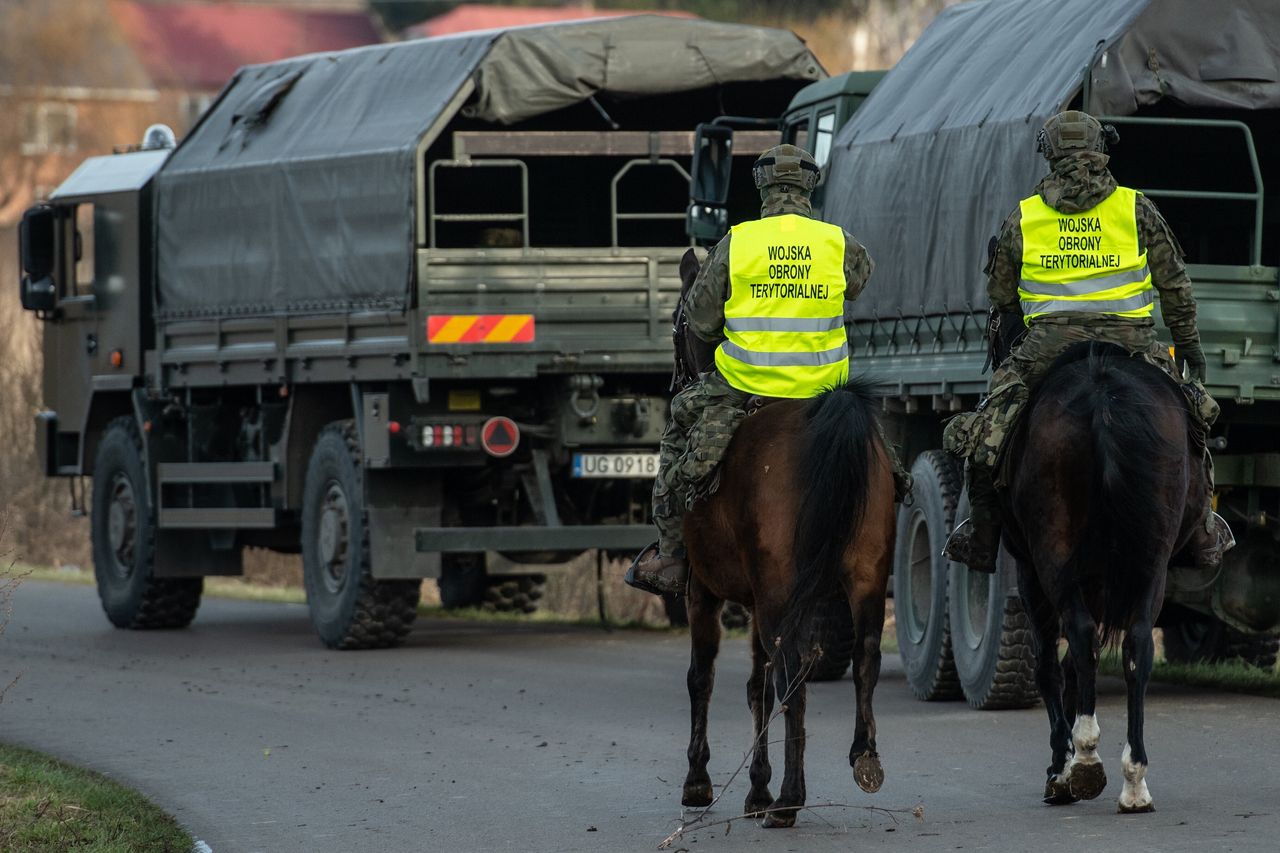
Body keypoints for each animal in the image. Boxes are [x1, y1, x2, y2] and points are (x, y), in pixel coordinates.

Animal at [670, 257, 901, 824]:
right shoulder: (757, 600)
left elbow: (703, 677)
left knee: (793, 678)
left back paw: (791, 799)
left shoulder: (703, 592)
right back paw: (863, 757)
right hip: (862, 577)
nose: (674, 379)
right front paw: (756, 787)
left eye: (677, 324)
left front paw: (700, 781)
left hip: (778, 595)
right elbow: (756, 684)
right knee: (863, 658)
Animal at [998, 338, 1198, 809]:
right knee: (1137, 645)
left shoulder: (1030, 574)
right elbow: (1072, 666)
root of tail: (1102, 394)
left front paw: (1060, 766)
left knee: (1082, 638)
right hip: (1151, 562)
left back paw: (1086, 758)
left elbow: (1051, 668)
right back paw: (1134, 779)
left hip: (1052, 556)